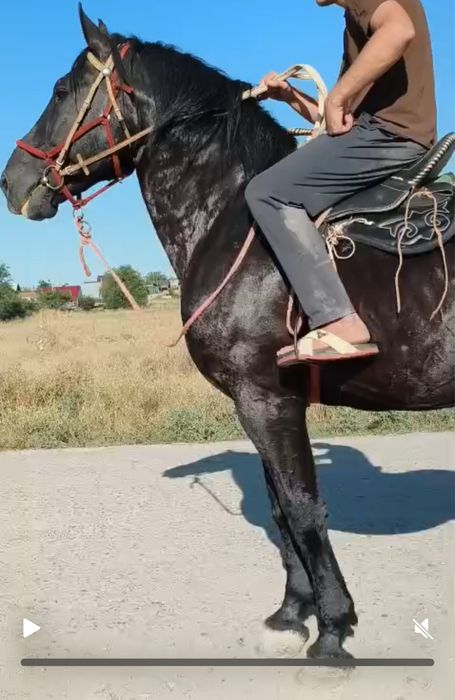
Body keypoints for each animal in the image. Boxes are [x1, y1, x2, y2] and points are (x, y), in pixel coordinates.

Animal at [2, 7, 453, 658]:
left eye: (62, 90)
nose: (12, 182)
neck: (231, 221)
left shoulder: (266, 399)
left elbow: (303, 510)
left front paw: (332, 629)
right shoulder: (260, 400)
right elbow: (281, 512)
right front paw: (291, 614)